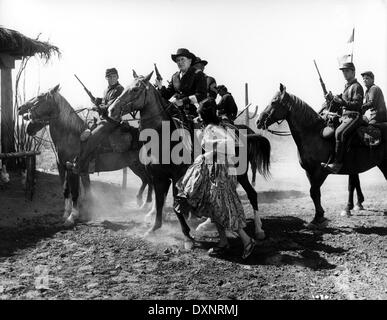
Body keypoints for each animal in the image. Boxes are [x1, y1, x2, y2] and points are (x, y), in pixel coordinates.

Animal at [17, 85, 155, 225]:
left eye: (40, 97)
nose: (20, 109)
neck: (71, 136)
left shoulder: (73, 169)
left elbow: (75, 191)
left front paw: (73, 216)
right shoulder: (63, 167)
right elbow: (66, 190)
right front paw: (66, 213)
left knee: (151, 181)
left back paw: (147, 206)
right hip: (135, 165)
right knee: (147, 180)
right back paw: (142, 202)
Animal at [107, 72, 272, 248]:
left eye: (135, 89)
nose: (111, 109)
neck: (164, 138)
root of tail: (241, 133)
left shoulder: (178, 177)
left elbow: (175, 205)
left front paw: (187, 236)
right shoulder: (159, 177)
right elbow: (159, 203)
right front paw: (154, 228)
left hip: (241, 173)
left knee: (251, 194)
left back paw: (258, 229)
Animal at [258, 82, 387, 228]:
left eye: (274, 102)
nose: (258, 121)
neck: (313, 133)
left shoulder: (321, 171)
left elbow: (314, 191)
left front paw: (319, 217)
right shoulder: (309, 172)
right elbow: (315, 193)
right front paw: (319, 217)